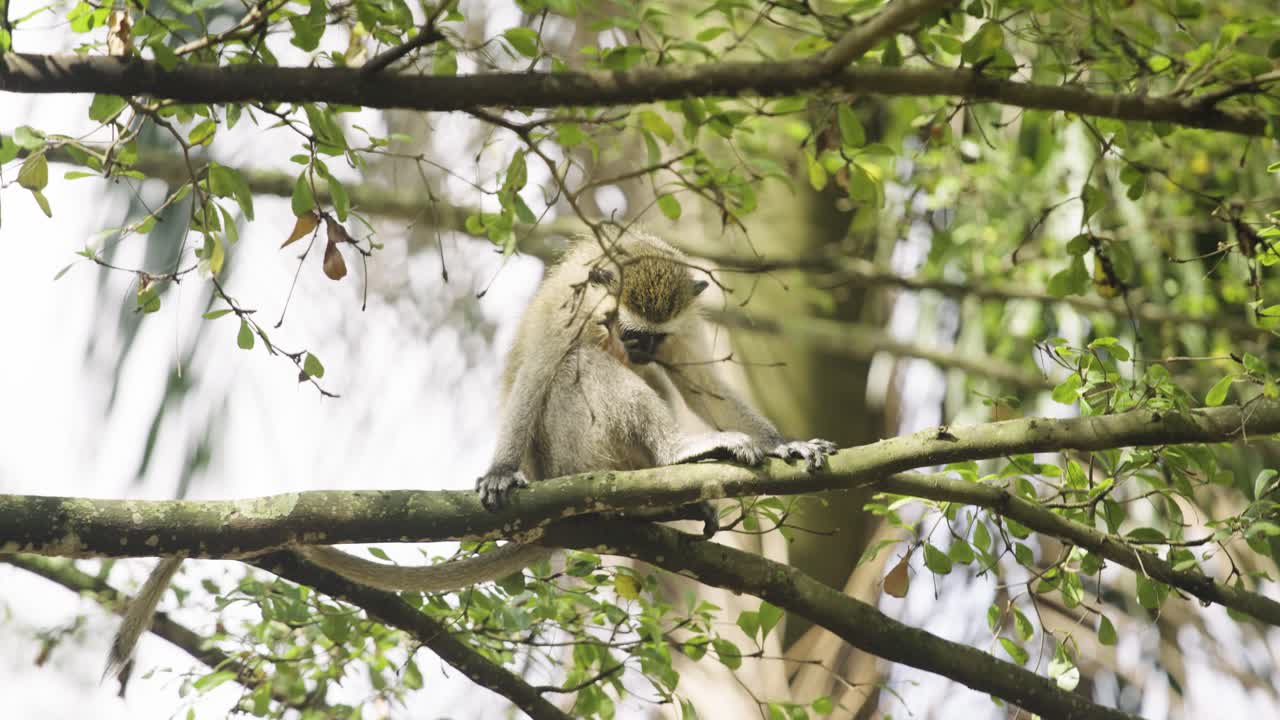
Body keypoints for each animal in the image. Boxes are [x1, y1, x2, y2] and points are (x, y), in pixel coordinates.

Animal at [107, 227, 837, 676]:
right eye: (626, 329)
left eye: (648, 337)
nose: (635, 350)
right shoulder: (576, 310)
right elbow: (544, 367)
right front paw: (499, 471)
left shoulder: (677, 328)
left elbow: (701, 381)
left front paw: (785, 444)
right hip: (576, 456)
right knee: (574, 371)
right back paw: (675, 458)